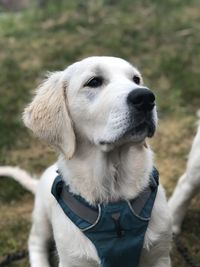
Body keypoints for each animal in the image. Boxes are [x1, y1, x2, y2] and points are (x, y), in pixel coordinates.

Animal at [0, 57, 172, 267]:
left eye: (136, 79)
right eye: (94, 81)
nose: (146, 98)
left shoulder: (160, 255)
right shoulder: (73, 260)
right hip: (41, 216)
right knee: (35, 241)